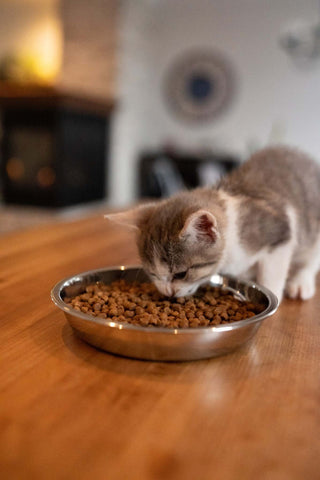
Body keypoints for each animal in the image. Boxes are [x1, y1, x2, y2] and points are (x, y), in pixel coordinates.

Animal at [106, 147, 320, 304]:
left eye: (181, 274)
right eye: (152, 273)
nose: (168, 293)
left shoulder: (279, 229)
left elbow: (271, 271)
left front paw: (273, 291)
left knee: (311, 259)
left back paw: (301, 282)